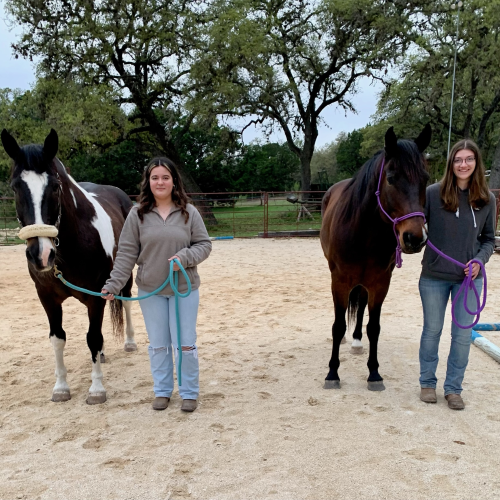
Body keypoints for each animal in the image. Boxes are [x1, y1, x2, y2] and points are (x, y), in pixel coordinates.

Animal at [0, 128, 137, 402]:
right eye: (16, 187)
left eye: (55, 187)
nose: (41, 254)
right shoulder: (47, 297)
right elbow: (58, 339)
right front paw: (61, 387)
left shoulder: (95, 295)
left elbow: (93, 337)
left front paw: (96, 389)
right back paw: (102, 355)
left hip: (125, 276)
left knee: (126, 302)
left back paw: (129, 342)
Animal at [322, 125, 432, 390]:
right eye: (391, 178)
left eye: (425, 178)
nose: (415, 237)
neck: (363, 233)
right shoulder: (339, 281)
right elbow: (338, 325)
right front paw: (332, 373)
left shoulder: (381, 283)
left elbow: (374, 327)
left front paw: (374, 373)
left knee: (361, 306)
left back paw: (357, 341)